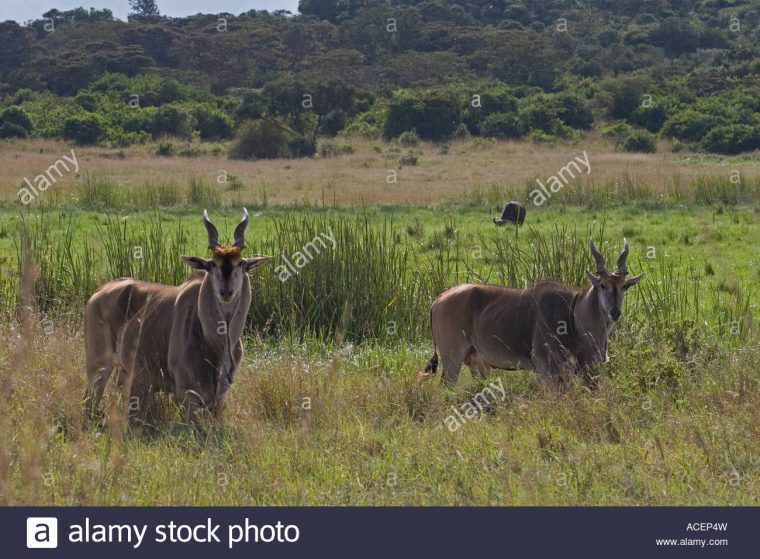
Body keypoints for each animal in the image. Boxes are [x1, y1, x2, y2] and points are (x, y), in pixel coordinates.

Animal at [84, 210, 270, 424]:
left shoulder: (219, 398)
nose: (225, 292)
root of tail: (98, 292)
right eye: (212, 264)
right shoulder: (186, 394)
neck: (216, 343)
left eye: (241, 263)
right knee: (90, 400)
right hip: (98, 365)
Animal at [422, 238, 640, 388]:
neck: (572, 312)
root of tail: (438, 300)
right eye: (603, 285)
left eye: (624, 287)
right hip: (452, 358)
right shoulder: (547, 371)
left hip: (476, 362)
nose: (615, 312)